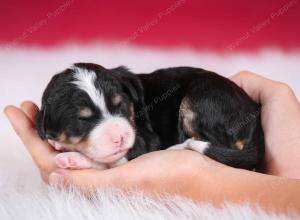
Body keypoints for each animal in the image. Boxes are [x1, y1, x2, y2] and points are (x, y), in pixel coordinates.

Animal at [36, 63, 264, 170]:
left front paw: (73, 158)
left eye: (120, 105)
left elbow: (113, 159)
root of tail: (254, 116)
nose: (120, 138)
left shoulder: (145, 140)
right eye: (82, 120)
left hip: (200, 102)